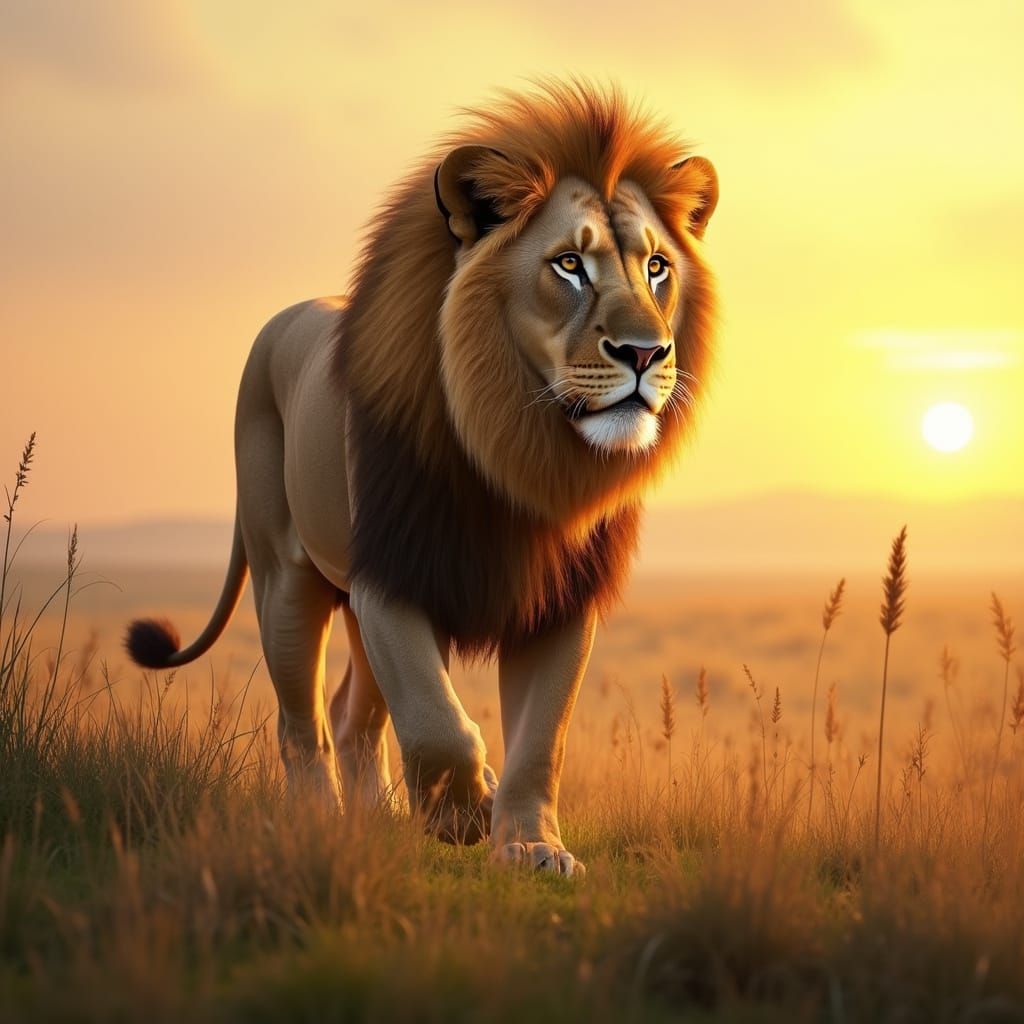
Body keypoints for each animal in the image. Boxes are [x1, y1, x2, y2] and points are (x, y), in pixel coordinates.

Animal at [126, 81, 718, 876]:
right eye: (569, 264)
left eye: (657, 267)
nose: (647, 353)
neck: (517, 451)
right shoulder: (391, 575)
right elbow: (441, 724)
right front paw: (465, 812)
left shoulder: (561, 599)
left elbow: (542, 739)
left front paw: (530, 844)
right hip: (289, 579)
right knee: (303, 722)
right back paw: (321, 822)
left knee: (353, 717)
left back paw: (374, 821)